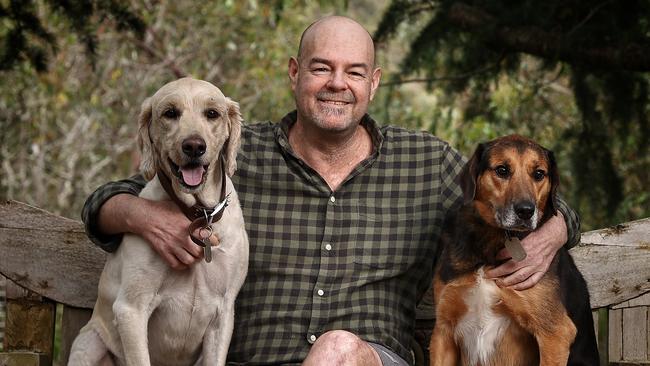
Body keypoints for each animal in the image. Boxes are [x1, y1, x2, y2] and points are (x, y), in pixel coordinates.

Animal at [69, 78, 248, 366]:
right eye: (170, 113)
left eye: (212, 114)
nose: (194, 146)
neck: (197, 213)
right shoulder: (131, 309)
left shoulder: (223, 314)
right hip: (88, 343)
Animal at [430, 136, 596, 364]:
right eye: (502, 170)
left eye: (539, 174)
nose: (526, 211)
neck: (494, 240)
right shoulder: (443, 330)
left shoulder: (555, 333)